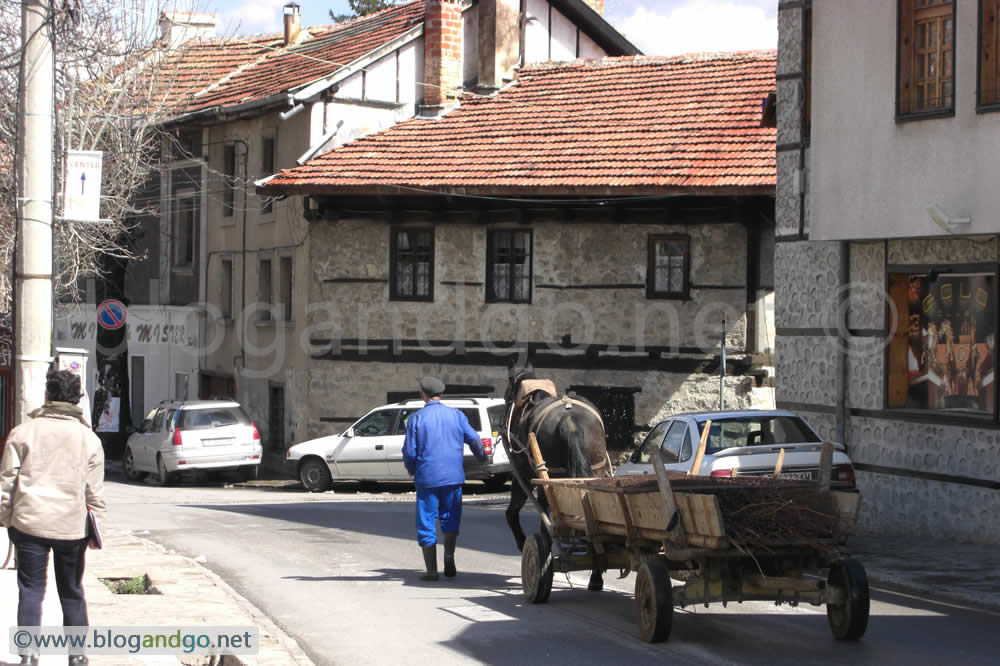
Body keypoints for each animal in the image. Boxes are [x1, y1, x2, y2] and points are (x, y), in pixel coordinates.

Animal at [500, 366, 608, 588]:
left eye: (507, 395)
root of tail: (570, 421)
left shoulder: (523, 475)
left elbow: (514, 513)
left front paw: (524, 544)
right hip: (595, 473)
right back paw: (595, 575)